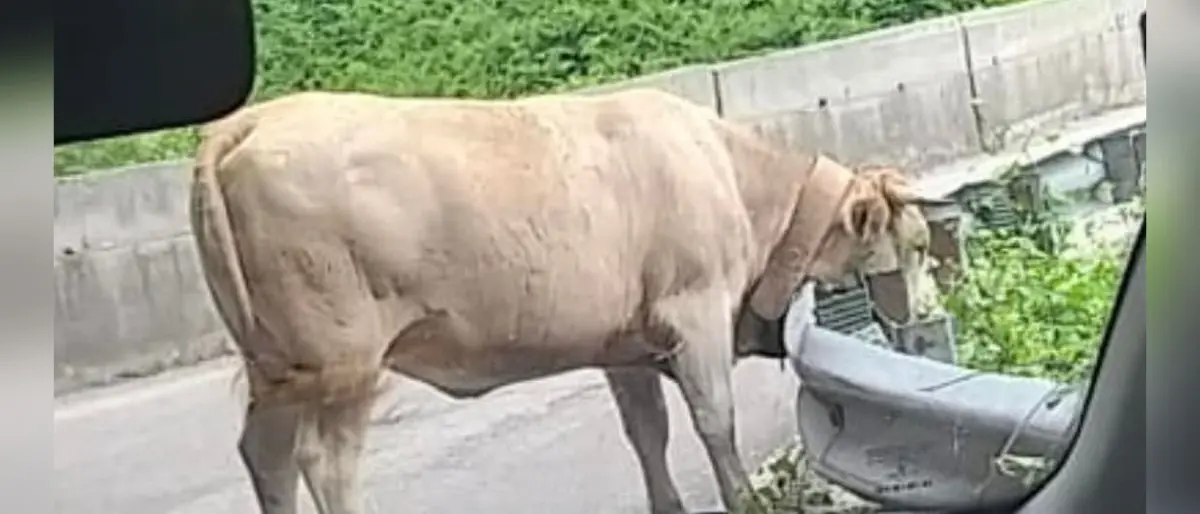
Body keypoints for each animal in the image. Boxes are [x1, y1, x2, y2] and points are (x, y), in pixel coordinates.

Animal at [189, 87, 943, 514]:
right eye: (914, 244)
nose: (932, 323)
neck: (736, 179)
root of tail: (245, 123)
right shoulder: (694, 308)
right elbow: (714, 422)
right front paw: (747, 501)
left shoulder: (625, 345)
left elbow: (647, 433)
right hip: (343, 362)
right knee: (323, 462)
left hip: (279, 368)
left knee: (265, 455)